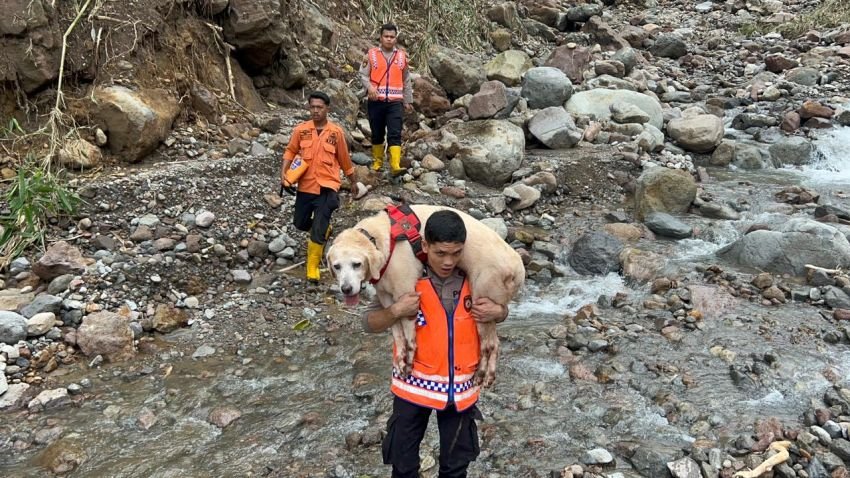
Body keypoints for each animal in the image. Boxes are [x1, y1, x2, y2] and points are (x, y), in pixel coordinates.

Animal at [326, 204, 520, 386]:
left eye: (357, 264)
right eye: (336, 266)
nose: (346, 289)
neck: (381, 239)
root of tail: (518, 268)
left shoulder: (406, 292)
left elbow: (409, 337)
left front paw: (410, 362)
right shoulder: (386, 297)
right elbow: (397, 332)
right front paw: (400, 359)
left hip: (482, 303)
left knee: (490, 345)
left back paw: (483, 374)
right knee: (493, 344)